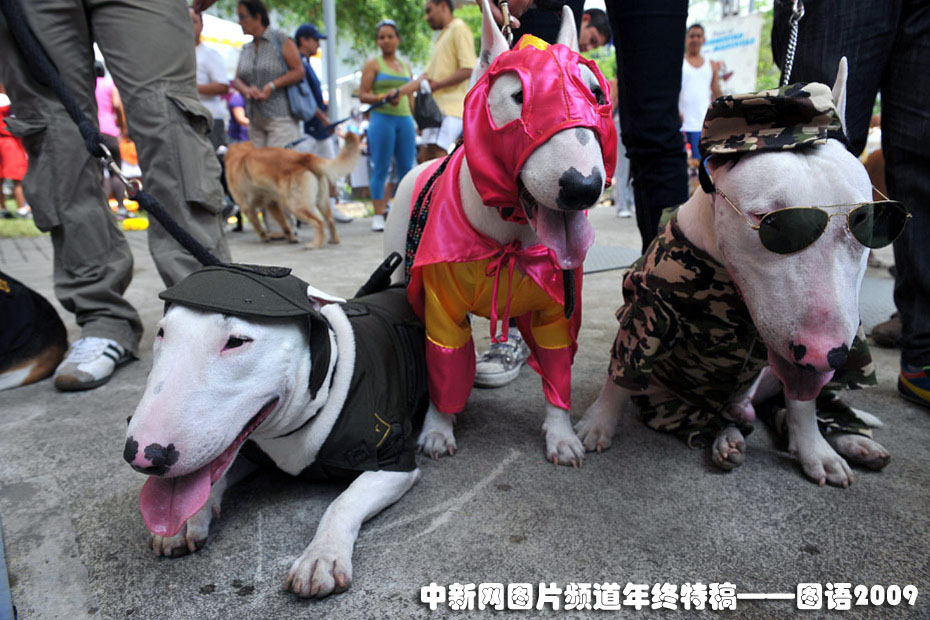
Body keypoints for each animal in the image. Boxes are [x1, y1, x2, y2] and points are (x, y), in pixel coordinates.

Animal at [123, 264, 428, 597]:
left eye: (237, 341)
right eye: (162, 332)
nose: (142, 455)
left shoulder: (393, 462)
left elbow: (343, 502)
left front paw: (321, 557)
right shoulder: (248, 450)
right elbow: (215, 476)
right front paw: (188, 521)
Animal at [225, 133, 360, 249]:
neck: (242, 154)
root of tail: (304, 157)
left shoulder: (247, 208)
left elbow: (258, 226)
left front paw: (264, 237)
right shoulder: (272, 204)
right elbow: (284, 225)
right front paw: (291, 238)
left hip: (294, 205)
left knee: (318, 222)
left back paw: (315, 245)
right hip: (321, 202)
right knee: (330, 221)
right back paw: (333, 240)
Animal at [384, 0, 616, 467]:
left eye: (597, 95)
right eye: (519, 97)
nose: (583, 188)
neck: (511, 232)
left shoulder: (557, 311)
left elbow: (557, 372)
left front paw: (562, 437)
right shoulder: (439, 306)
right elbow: (444, 360)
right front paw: (437, 430)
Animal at [576, 60, 896, 487]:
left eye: (864, 222)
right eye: (769, 222)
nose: (826, 355)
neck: (730, 284)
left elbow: (804, 404)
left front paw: (816, 452)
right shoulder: (649, 306)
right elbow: (622, 369)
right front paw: (598, 424)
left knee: (788, 407)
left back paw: (851, 441)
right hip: (666, 400)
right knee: (711, 418)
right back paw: (727, 440)